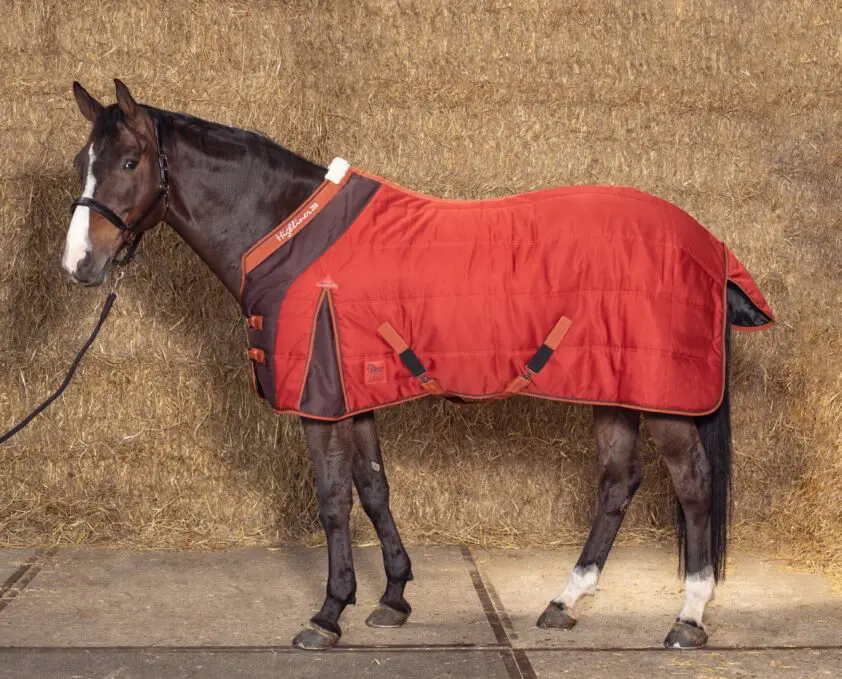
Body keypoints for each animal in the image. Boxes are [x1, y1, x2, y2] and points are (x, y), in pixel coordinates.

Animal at [60, 80, 775, 651]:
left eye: (129, 160)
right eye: (79, 163)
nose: (79, 266)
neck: (287, 232)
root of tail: (709, 244)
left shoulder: (320, 402)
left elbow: (332, 501)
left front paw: (328, 614)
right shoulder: (352, 396)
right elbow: (374, 489)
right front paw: (393, 598)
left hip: (663, 400)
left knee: (693, 485)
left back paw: (689, 618)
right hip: (616, 389)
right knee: (617, 484)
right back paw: (564, 602)